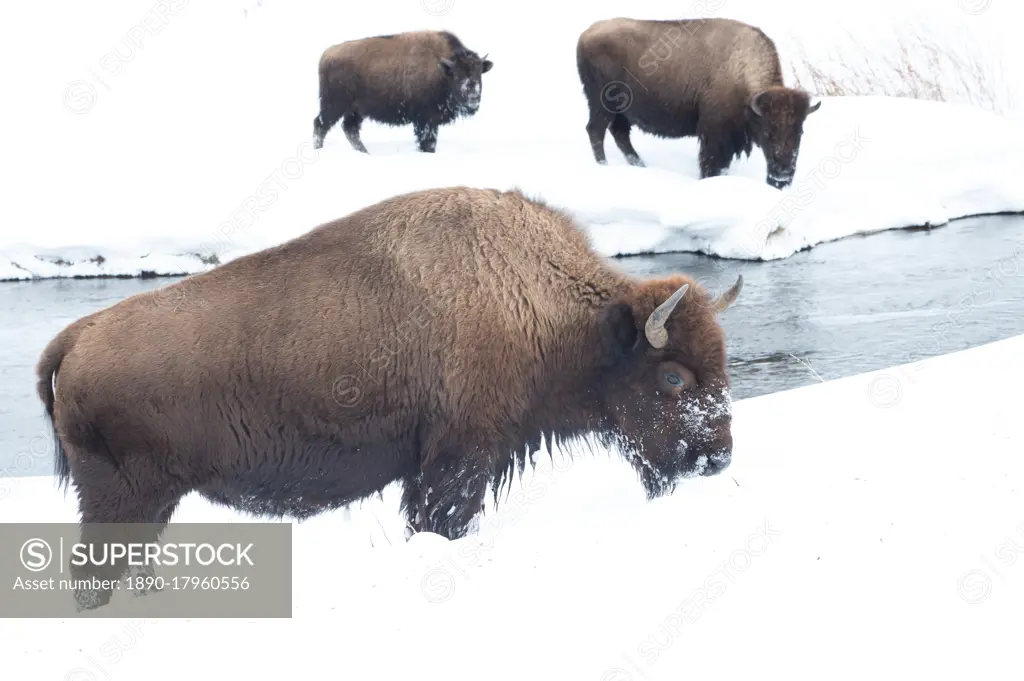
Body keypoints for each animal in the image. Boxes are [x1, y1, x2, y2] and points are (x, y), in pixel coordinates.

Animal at [36, 184, 741, 610]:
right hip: (120, 499)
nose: (718, 456)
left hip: (153, 502)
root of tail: (76, 336)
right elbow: (442, 520)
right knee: (93, 573)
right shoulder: (459, 458)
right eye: (674, 377)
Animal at [311, 29, 491, 153]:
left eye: (478, 73)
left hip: (355, 110)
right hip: (334, 106)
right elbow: (428, 142)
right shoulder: (426, 121)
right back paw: (319, 150)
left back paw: (365, 152)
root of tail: (326, 55)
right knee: (321, 124)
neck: (442, 70)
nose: (473, 97)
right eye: (457, 75)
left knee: (350, 129)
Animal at [577, 18, 823, 188]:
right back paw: (604, 166)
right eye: (767, 132)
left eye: (800, 132)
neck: (741, 72)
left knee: (619, 134)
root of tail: (585, 36)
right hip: (602, 104)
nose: (783, 175)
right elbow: (711, 164)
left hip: (620, 111)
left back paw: (640, 165)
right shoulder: (715, 136)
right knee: (596, 131)